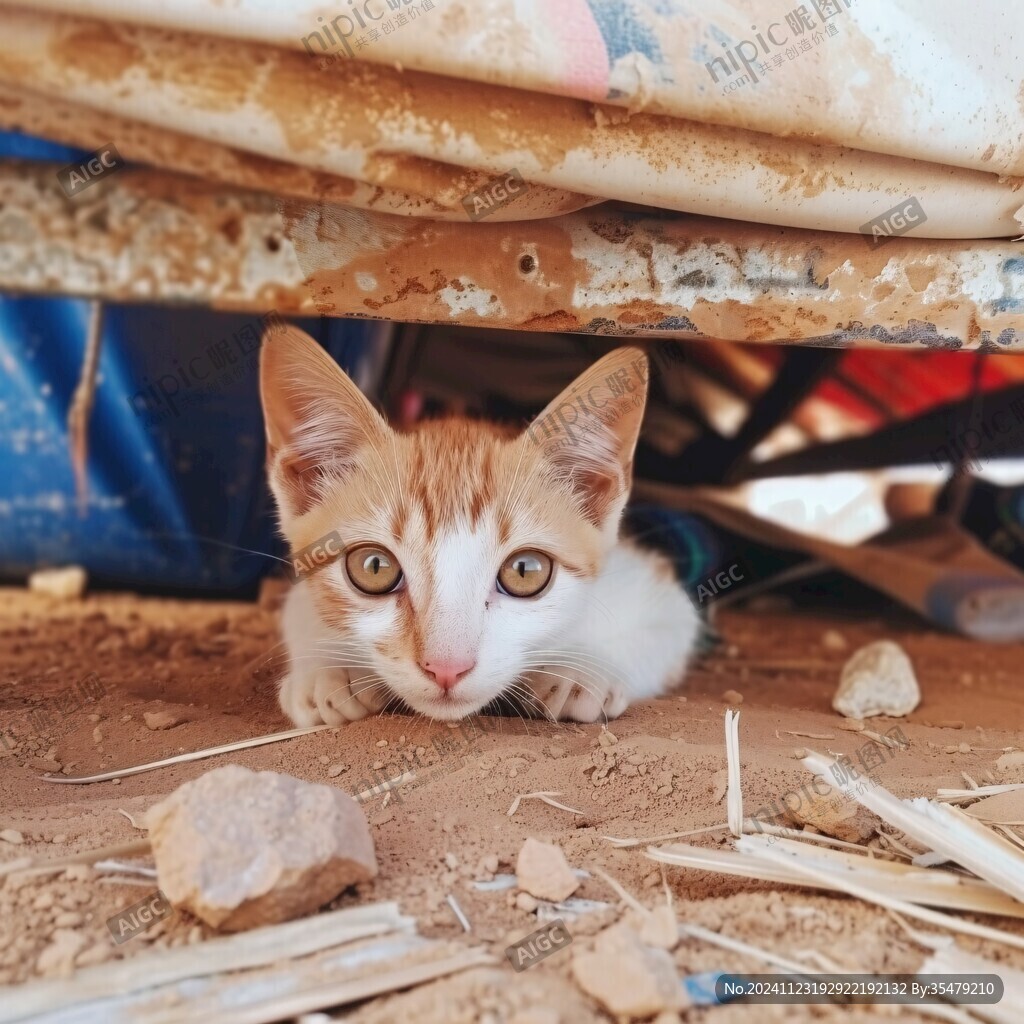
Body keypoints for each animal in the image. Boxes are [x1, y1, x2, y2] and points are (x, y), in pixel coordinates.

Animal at [260, 327, 700, 729]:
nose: (446, 668)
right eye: (374, 567)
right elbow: (299, 612)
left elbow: (664, 629)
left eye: (525, 572)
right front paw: (327, 671)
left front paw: (581, 669)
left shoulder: (655, 594)